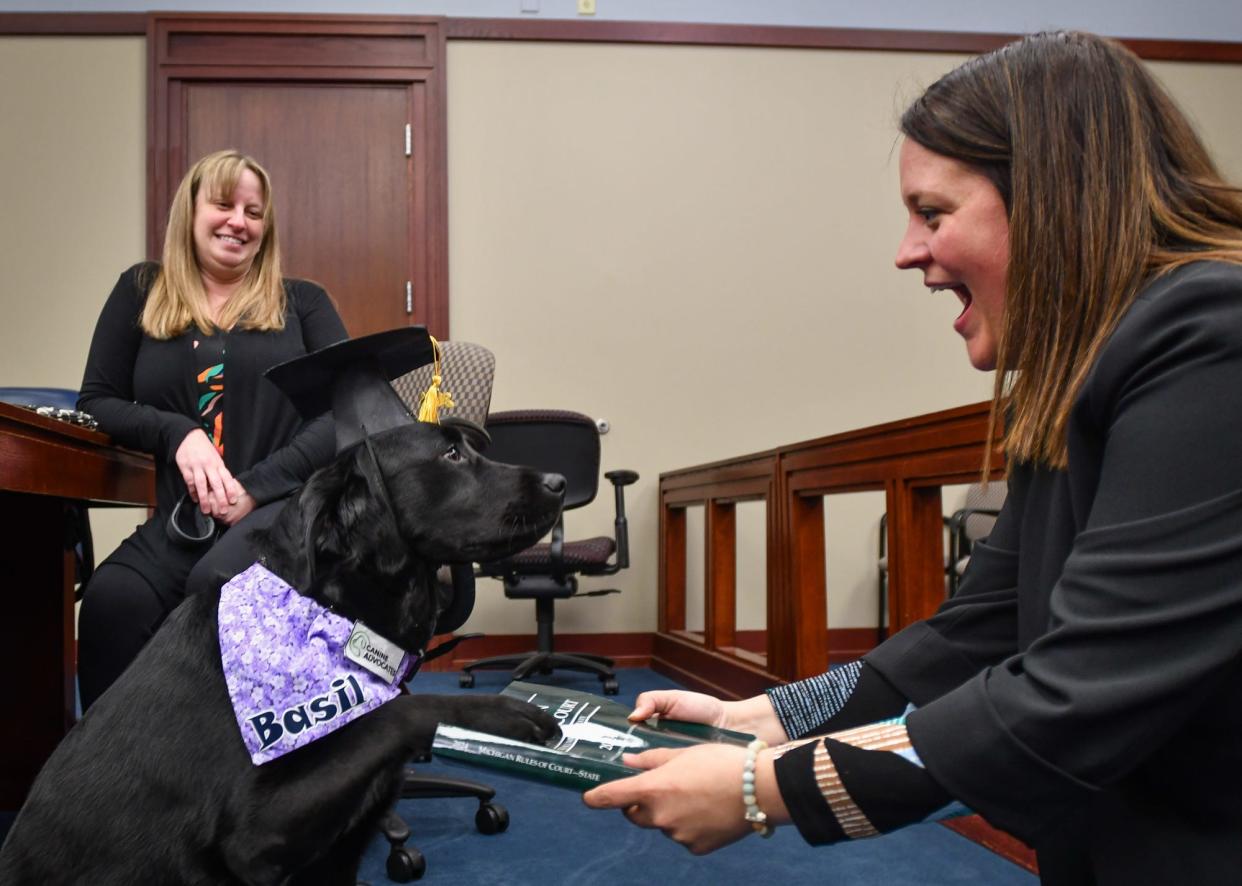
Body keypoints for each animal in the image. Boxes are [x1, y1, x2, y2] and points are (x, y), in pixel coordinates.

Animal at [0, 417, 563, 879]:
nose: (558, 483)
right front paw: (505, 716)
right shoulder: (256, 837)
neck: (331, 611)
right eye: (450, 455)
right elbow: (399, 710)